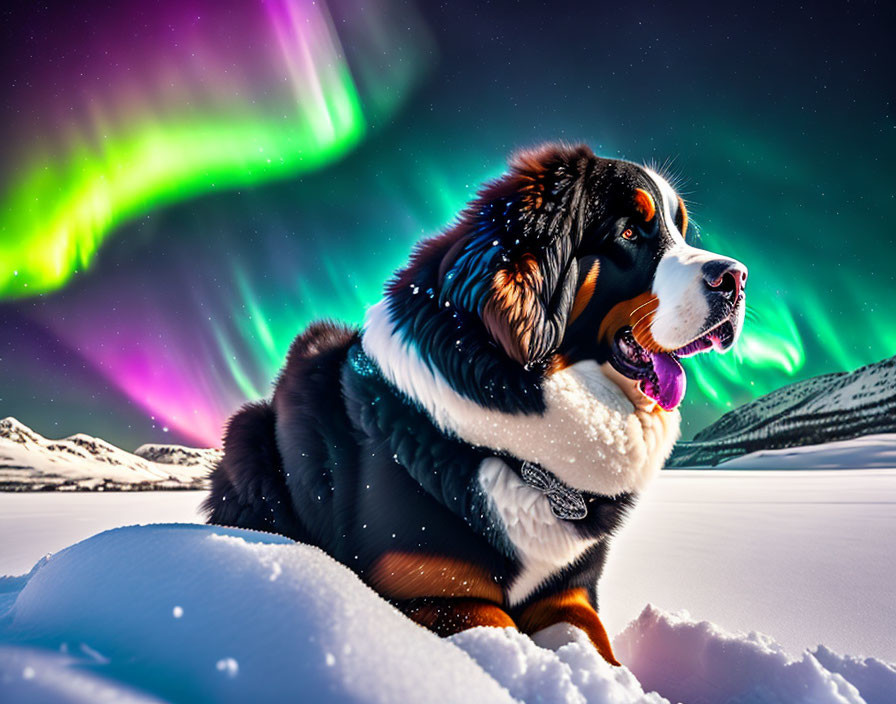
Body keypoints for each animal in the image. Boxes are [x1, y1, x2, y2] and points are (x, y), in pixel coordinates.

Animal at [205, 143, 748, 664]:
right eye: (631, 232)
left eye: (681, 232)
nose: (737, 277)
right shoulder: (433, 591)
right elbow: (500, 632)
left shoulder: (568, 592)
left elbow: (600, 653)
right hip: (250, 433)